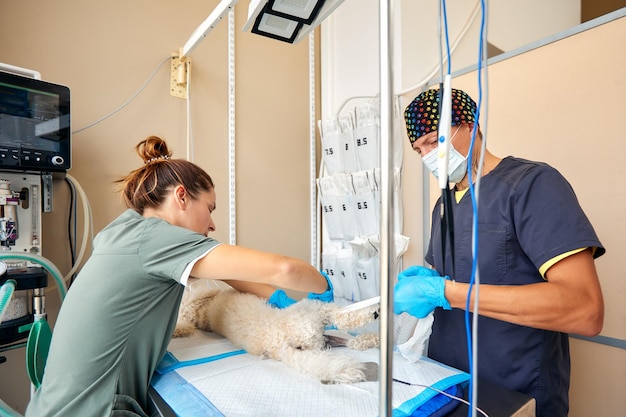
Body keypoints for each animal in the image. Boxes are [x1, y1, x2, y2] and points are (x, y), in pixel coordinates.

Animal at [176, 290, 380, 384]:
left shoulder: (315, 310)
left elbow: (342, 315)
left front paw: (372, 313)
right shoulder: (300, 346)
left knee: (350, 340)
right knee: (347, 342)